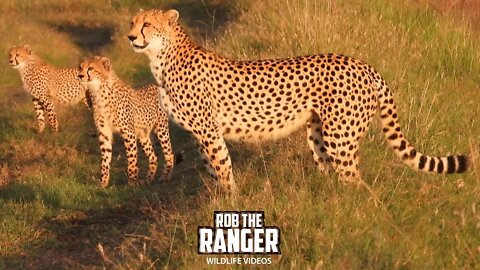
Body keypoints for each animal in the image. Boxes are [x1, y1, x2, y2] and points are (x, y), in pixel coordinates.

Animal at [79, 56, 176, 188]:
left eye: (90, 68)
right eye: (80, 67)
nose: (80, 75)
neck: (98, 90)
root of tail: (155, 86)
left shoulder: (128, 132)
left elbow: (131, 158)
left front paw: (132, 182)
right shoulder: (104, 133)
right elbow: (105, 159)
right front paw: (103, 183)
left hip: (161, 129)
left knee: (169, 154)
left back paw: (164, 177)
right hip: (143, 135)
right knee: (153, 157)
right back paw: (147, 180)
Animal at [126, 8, 468, 192]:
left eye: (147, 24)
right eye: (132, 22)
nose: (130, 37)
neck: (162, 57)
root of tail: (363, 65)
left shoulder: (208, 131)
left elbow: (222, 169)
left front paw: (230, 203)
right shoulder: (200, 134)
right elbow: (214, 170)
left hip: (340, 137)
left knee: (356, 182)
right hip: (318, 135)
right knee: (337, 176)